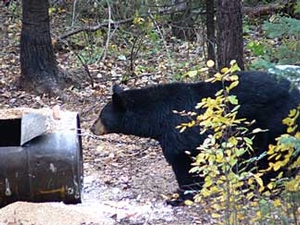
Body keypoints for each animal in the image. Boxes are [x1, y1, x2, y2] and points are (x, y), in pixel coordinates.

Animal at [91, 71, 300, 206]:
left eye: (101, 116)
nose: (92, 127)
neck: (157, 118)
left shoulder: (180, 133)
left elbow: (184, 164)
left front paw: (179, 197)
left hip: (275, 122)